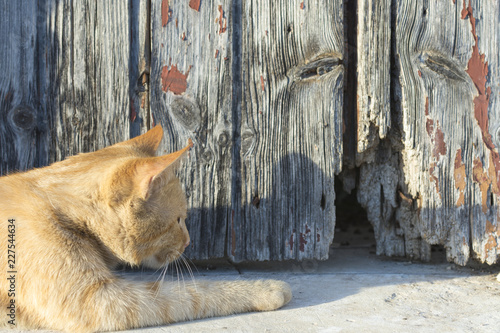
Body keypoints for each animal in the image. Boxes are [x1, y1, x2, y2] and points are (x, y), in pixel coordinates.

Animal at [0, 125, 292, 332]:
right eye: (178, 220)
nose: (189, 242)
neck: (61, 206)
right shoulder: (100, 301)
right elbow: (194, 292)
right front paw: (264, 288)